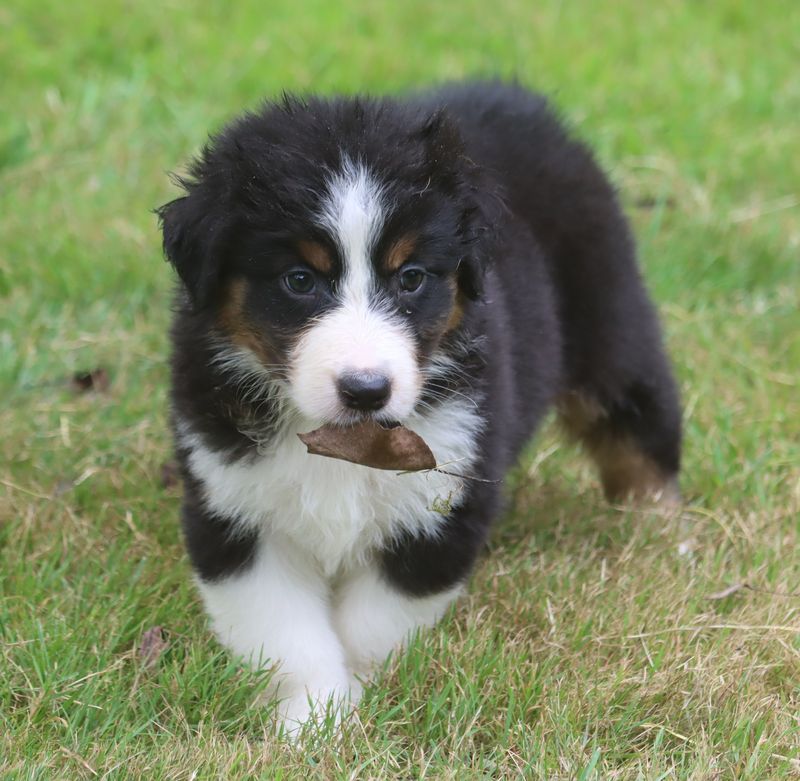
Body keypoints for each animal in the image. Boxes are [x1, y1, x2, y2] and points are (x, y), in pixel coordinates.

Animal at [156, 82, 680, 736]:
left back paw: (658, 525)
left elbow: (371, 624)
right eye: (299, 279)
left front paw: (352, 704)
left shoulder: (442, 500)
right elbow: (287, 635)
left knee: (639, 425)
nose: (366, 389)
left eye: (410, 278)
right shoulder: (234, 508)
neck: (346, 442)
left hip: (609, 323)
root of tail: (511, 95)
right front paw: (311, 723)